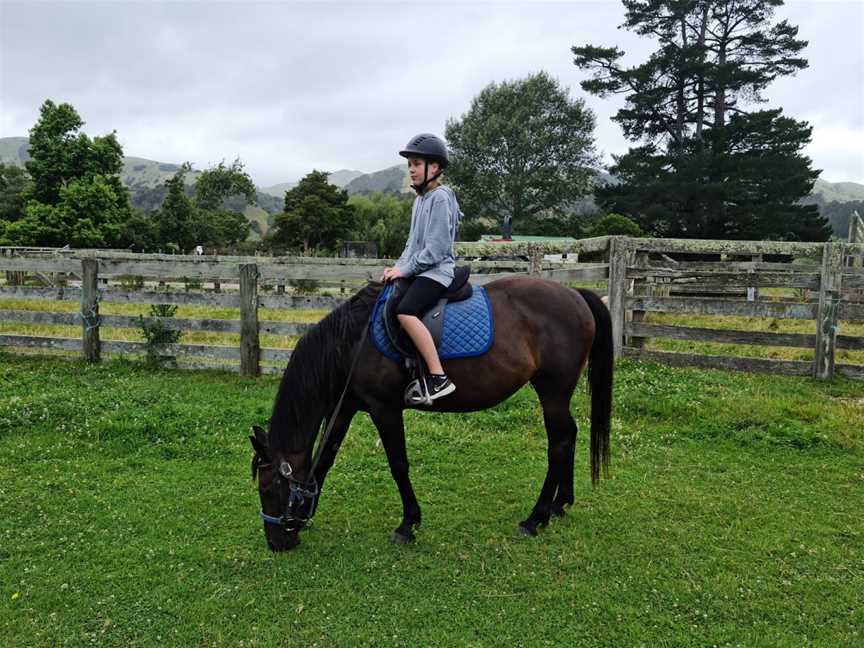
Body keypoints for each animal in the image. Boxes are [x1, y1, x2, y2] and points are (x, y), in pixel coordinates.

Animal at [248, 274, 616, 552]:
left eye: (268, 489)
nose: (277, 543)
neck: (352, 344)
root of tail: (575, 294)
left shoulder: (384, 409)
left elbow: (398, 465)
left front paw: (407, 524)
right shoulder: (345, 407)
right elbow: (324, 461)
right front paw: (307, 515)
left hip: (552, 392)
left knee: (558, 444)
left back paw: (535, 518)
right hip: (558, 395)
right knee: (569, 436)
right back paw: (560, 503)